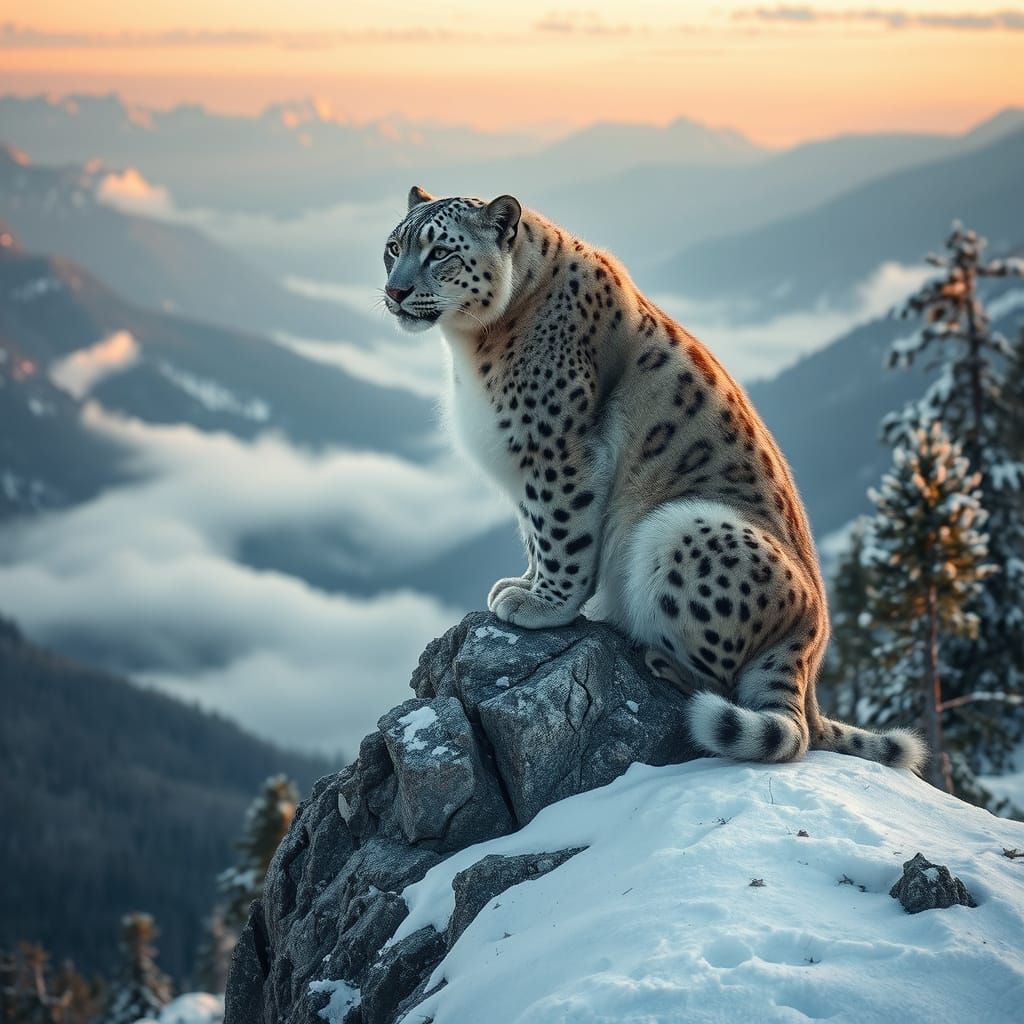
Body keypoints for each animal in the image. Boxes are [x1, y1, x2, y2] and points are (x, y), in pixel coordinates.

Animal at [382, 185, 926, 772]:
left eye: (441, 252)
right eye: (394, 247)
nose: (395, 290)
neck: (472, 348)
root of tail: (811, 655)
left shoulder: (557, 451)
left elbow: (561, 533)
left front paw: (542, 605)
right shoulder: (524, 467)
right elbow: (533, 533)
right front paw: (522, 584)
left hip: (684, 527)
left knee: (723, 684)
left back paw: (661, 662)